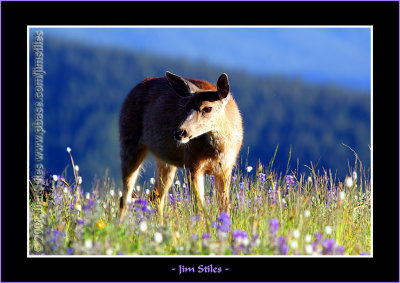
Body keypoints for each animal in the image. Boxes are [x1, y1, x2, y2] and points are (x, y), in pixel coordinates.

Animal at [119, 71, 244, 222]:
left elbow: (224, 207)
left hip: (165, 161)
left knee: (155, 197)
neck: (217, 151)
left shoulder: (226, 168)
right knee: (125, 197)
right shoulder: (193, 164)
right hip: (129, 142)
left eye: (208, 108)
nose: (179, 132)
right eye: (185, 107)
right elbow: (198, 208)